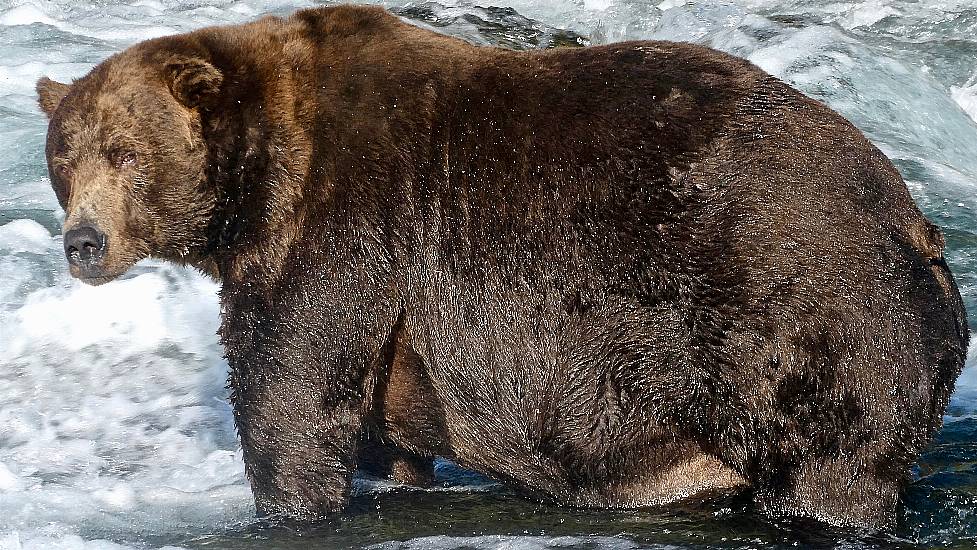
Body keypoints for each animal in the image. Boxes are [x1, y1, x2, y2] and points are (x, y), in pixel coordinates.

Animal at [36, 3, 968, 532]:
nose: (83, 242)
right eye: (63, 158)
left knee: (830, 467)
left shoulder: (345, 225)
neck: (257, 181)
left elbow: (290, 389)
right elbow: (374, 429)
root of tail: (915, 223)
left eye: (125, 152)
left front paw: (286, 504)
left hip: (804, 321)